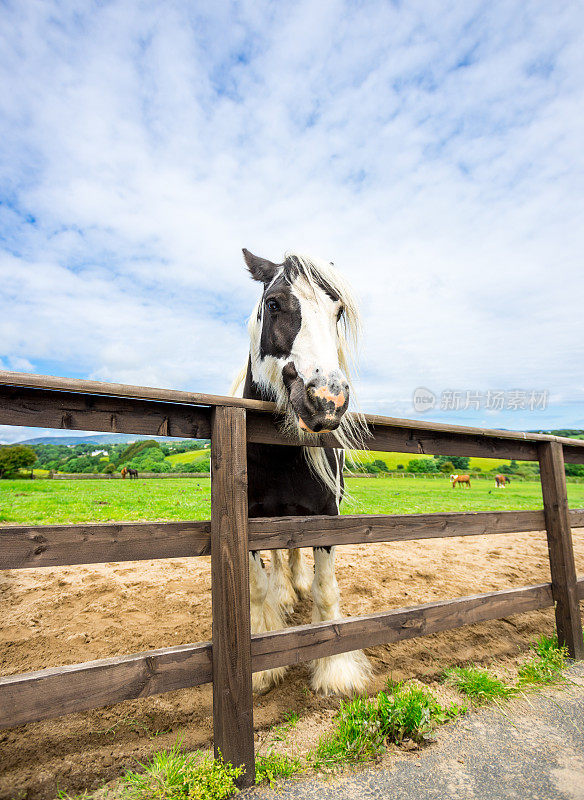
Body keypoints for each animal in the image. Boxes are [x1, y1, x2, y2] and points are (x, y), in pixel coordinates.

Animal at [232, 247, 372, 696]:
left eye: (338, 312)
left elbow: (326, 589)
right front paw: (262, 667)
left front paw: (335, 669)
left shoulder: (326, 516)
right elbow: (257, 588)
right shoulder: (251, 520)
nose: (328, 399)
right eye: (274, 304)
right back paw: (285, 593)